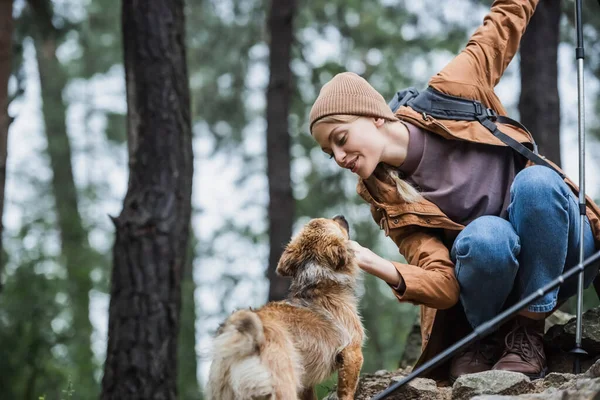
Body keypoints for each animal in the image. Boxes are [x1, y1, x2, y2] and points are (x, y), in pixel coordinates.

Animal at [206, 217, 366, 398]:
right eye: (333, 222)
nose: (341, 216)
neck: (316, 278)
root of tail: (246, 342)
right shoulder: (352, 352)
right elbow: (346, 391)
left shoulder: (306, 383)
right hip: (284, 385)